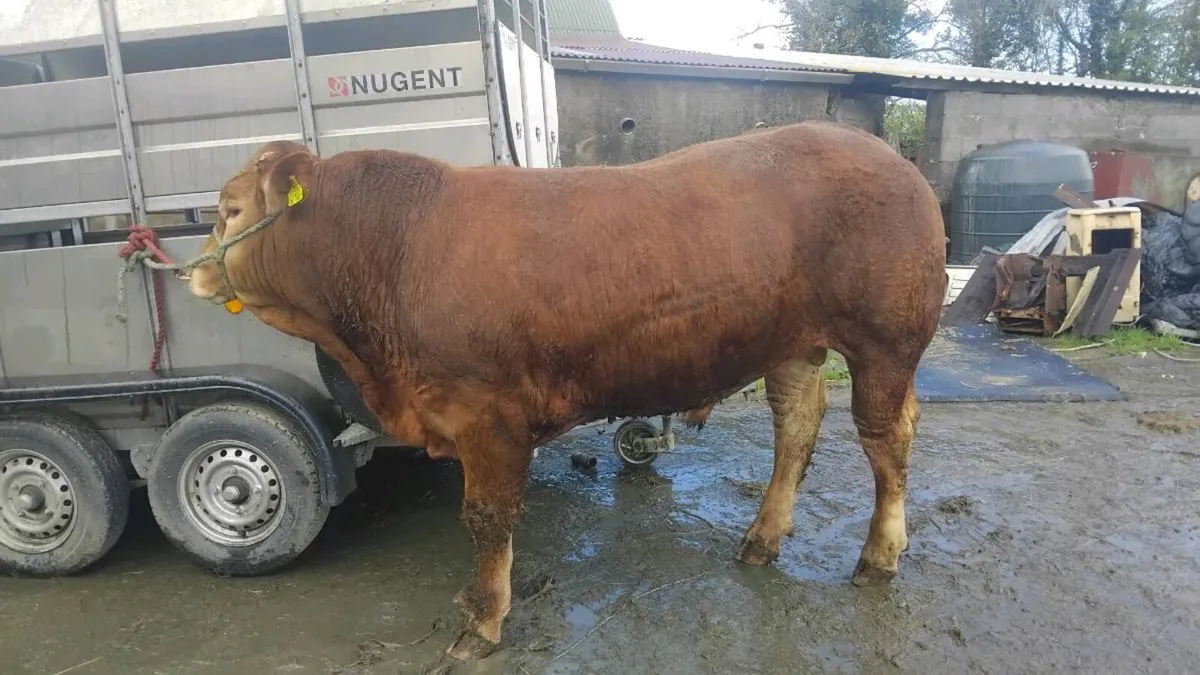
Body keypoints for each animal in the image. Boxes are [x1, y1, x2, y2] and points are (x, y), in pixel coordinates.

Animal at [188, 121, 948, 660]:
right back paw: (762, 538)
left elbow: (487, 519)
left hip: (885, 343)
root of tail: (893, 158)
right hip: (792, 346)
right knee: (797, 426)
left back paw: (879, 556)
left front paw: (483, 621)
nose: (192, 271)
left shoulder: (487, 413)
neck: (395, 251)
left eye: (229, 209)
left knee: (887, 439)